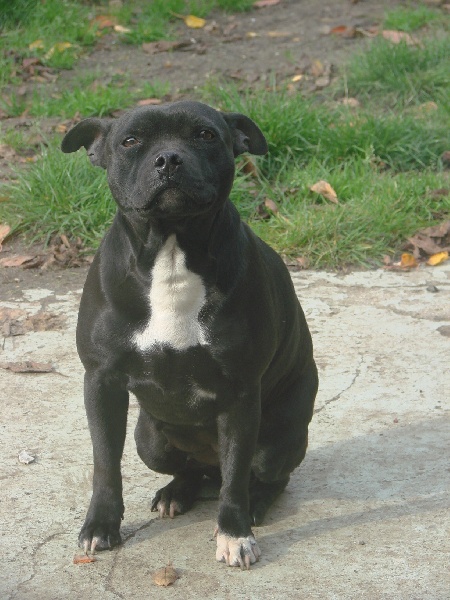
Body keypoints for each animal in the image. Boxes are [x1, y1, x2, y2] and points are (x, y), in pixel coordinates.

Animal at [61, 100, 318, 569]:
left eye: (204, 135)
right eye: (130, 141)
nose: (168, 159)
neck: (171, 249)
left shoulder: (239, 393)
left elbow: (235, 477)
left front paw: (235, 533)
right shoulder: (101, 381)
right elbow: (105, 463)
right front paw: (101, 525)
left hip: (275, 440)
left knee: (261, 475)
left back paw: (255, 503)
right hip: (149, 441)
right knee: (191, 469)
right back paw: (176, 492)